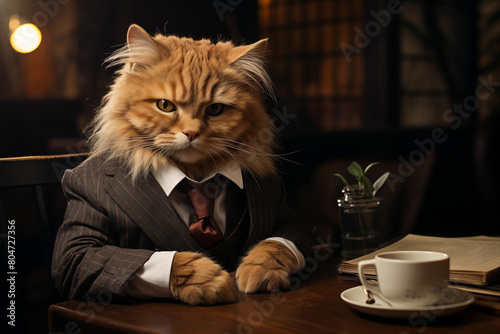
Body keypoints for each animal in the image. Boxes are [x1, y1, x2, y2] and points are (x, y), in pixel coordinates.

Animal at [50, 24, 308, 306]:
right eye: (165, 105)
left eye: (215, 110)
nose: (192, 133)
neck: (195, 175)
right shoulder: (78, 248)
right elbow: (165, 259)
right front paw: (209, 279)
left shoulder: (288, 218)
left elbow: (275, 244)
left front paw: (260, 271)